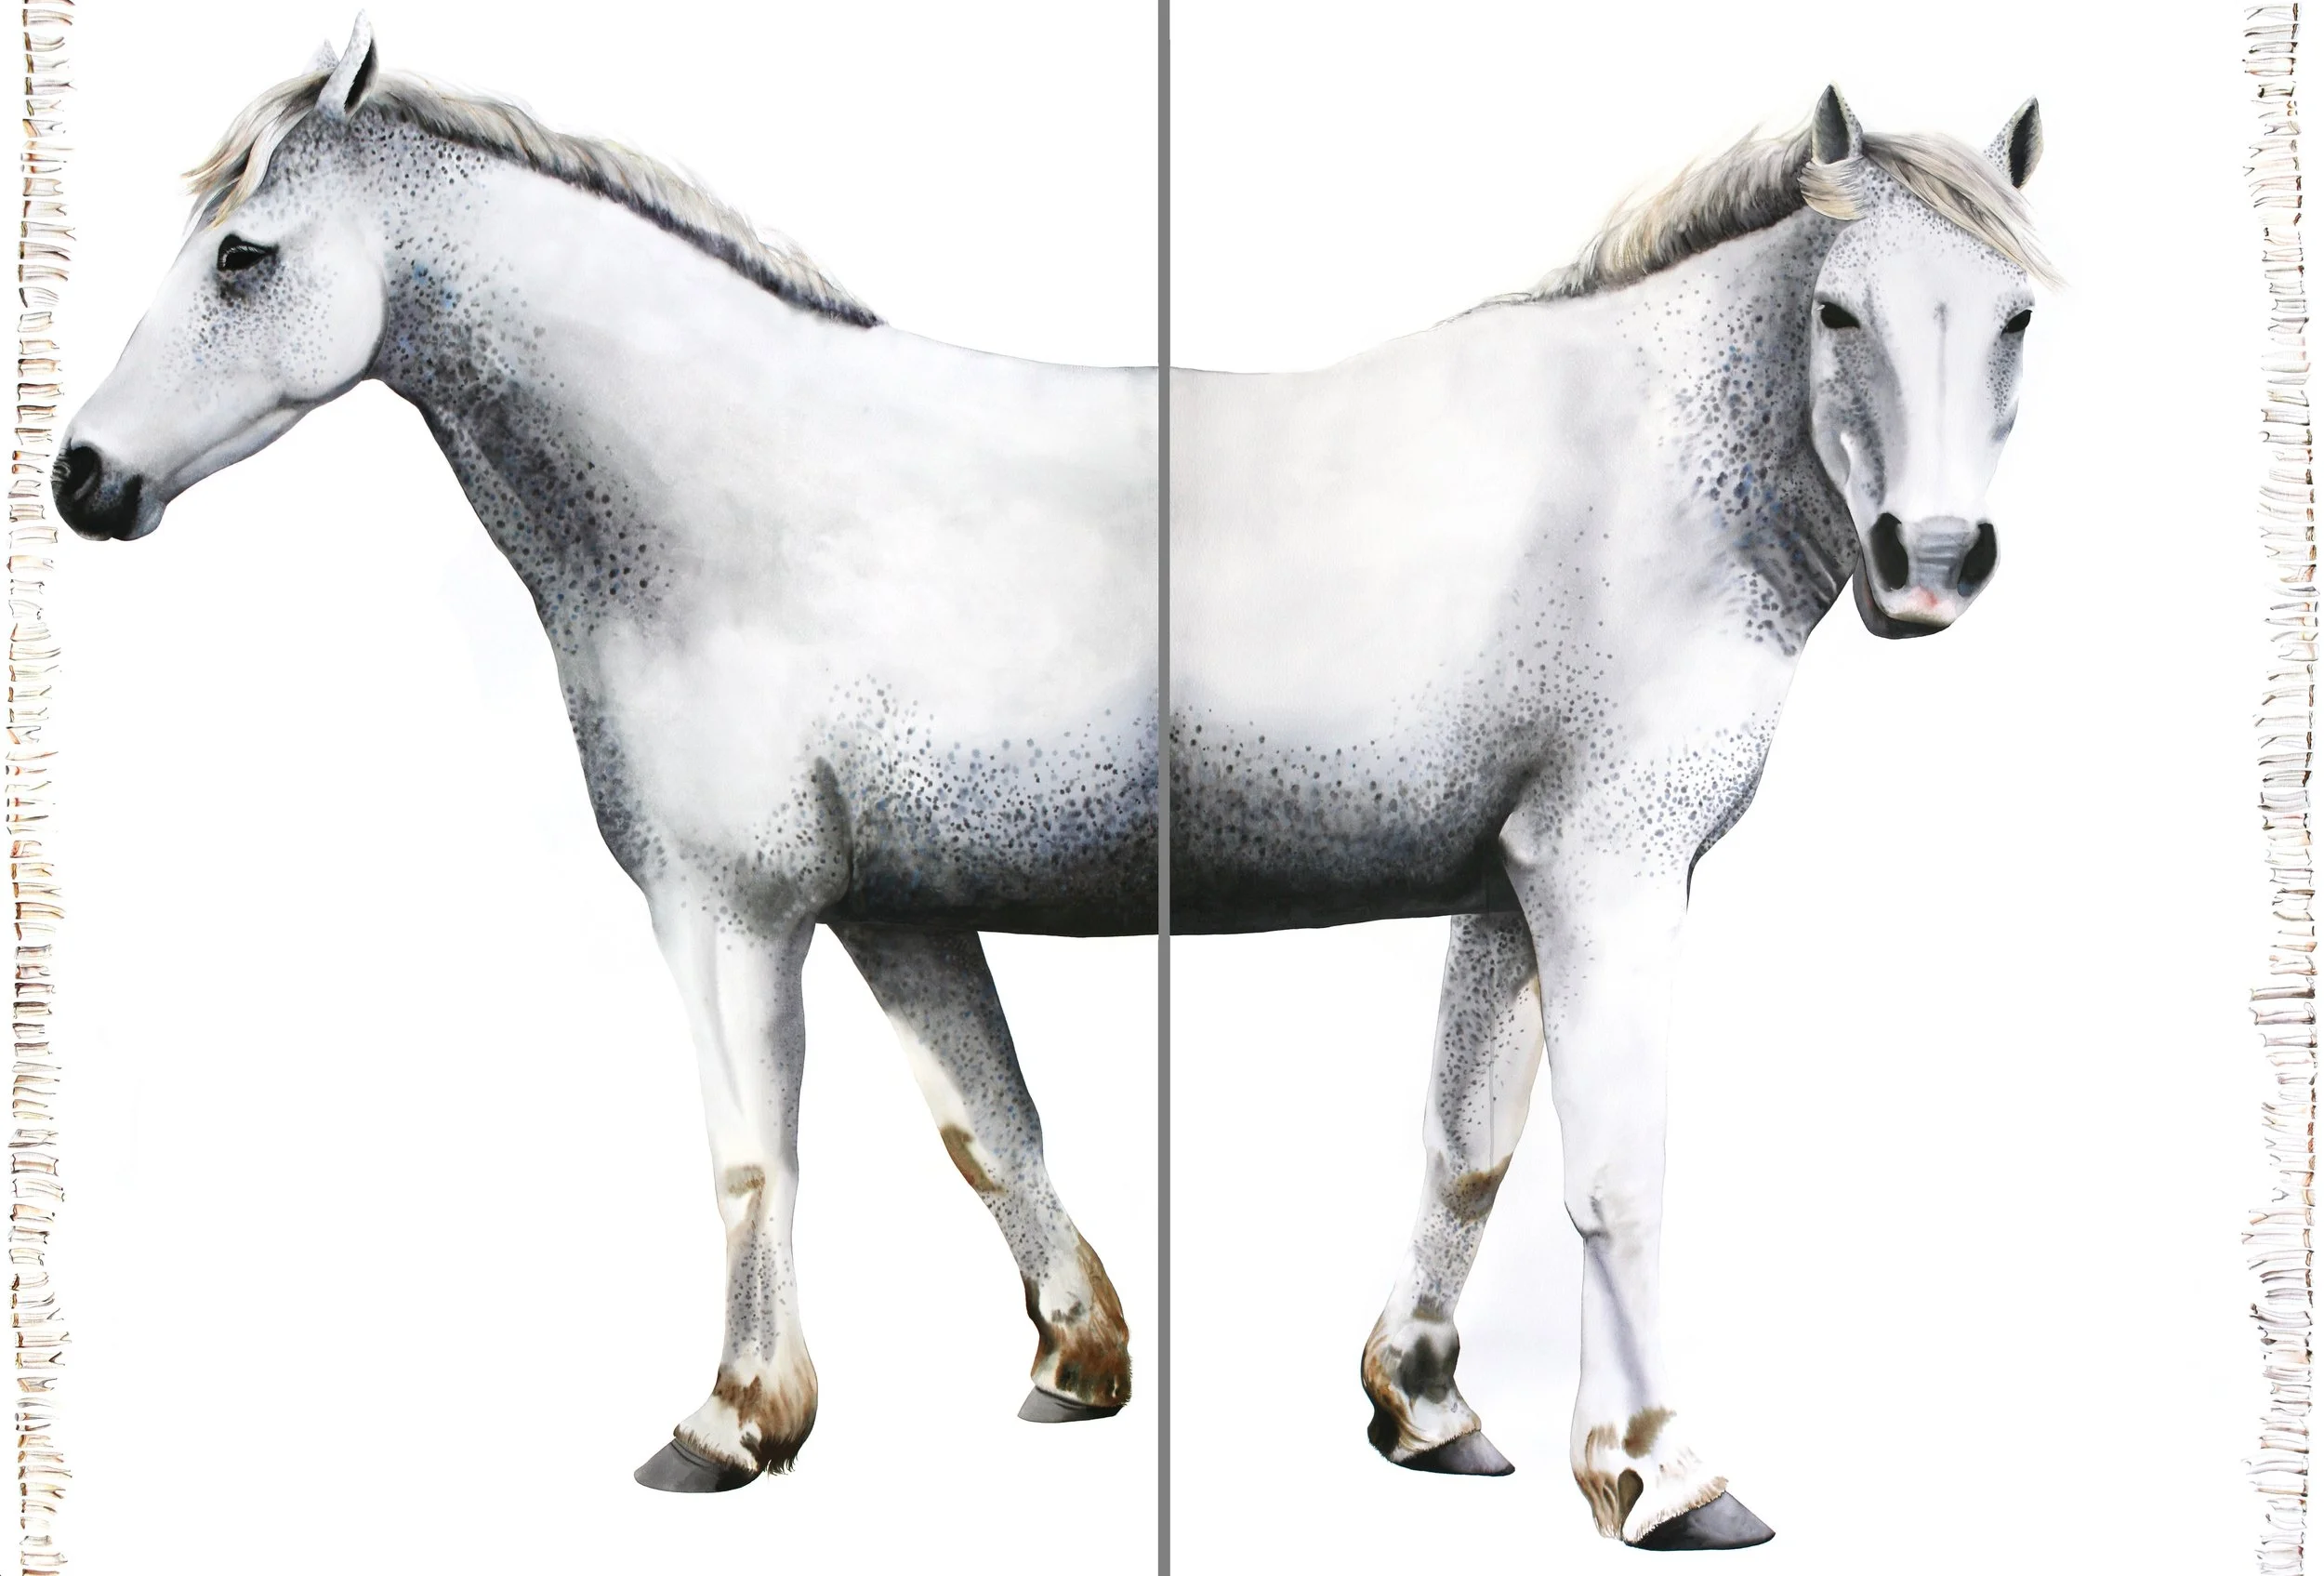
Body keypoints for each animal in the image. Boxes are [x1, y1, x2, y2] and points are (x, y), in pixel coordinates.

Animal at [55, 18, 1157, 1492]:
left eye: (241, 256)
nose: (78, 475)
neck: (774, 516)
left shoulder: (731, 910)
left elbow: (751, 1158)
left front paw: (736, 1417)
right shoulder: (898, 908)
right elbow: (989, 1124)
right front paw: (1077, 1359)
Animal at [1169, 86, 2049, 1548]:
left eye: (2015, 315)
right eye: (1837, 312)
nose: (1926, 562)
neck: (1629, 480)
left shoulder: (1504, 887)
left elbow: (1467, 1148)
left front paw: (1422, 1403)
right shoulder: (1607, 873)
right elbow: (1619, 1178)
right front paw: (1660, 1470)